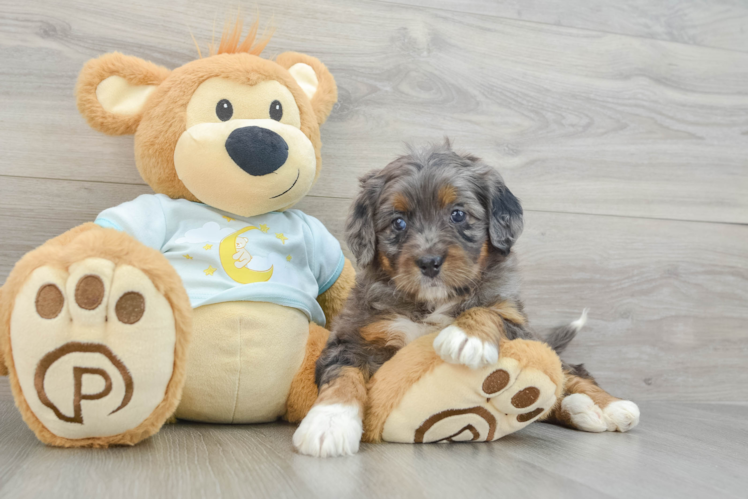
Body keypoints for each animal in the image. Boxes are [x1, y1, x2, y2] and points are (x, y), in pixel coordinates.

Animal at [296, 141, 640, 458]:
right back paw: (581, 409)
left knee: (573, 372)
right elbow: (343, 375)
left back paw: (610, 406)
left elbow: (490, 310)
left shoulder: (516, 320)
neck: (432, 302)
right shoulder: (353, 335)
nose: (429, 262)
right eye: (398, 222)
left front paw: (465, 336)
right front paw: (328, 424)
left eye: (458, 214)